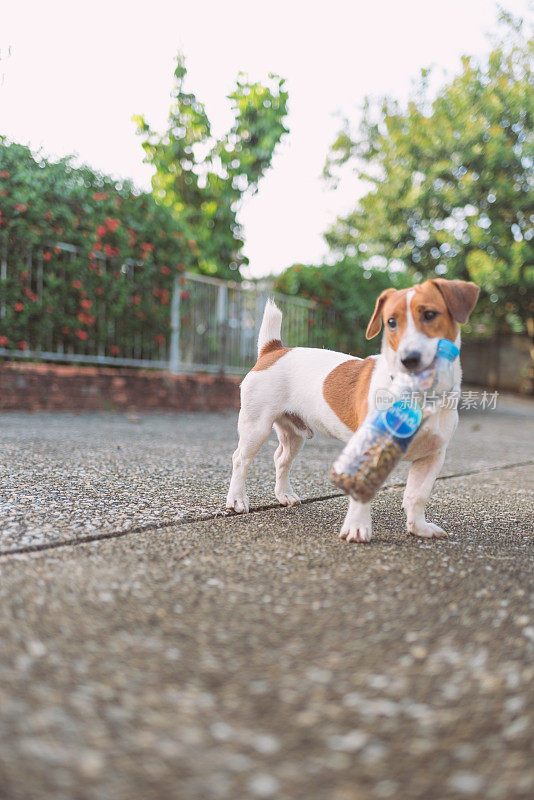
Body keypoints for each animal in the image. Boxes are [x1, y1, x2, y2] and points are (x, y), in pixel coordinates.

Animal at [226, 276, 482, 544]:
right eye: (391, 322)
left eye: (430, 314)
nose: (408, 358)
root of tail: (274, 349)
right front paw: (357, 527)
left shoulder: (431, 456)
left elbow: (417, 495)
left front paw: (418, 527)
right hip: (256, 426)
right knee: (240, 459)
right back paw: (237, 499)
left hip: (294, 434)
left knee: (281, 459)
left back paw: (284, 494)